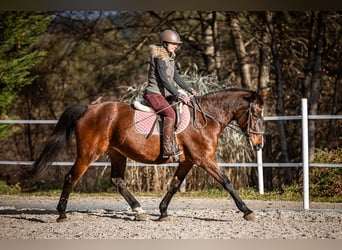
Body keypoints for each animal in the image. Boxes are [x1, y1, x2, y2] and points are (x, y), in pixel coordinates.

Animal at [24, 88, 264, 221]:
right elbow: (227, 182)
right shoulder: (204, 159)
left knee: (117, 180)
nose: (259, 144)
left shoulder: (188, 161)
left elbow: (174, 185)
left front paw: (163, 212)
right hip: (88, 153)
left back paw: (139, 210)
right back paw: (62, 214)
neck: (205, 118)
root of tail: (89, 109)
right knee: (71, 177)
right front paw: (247, 211)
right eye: (256, 113)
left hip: (117, 153)